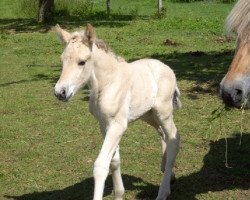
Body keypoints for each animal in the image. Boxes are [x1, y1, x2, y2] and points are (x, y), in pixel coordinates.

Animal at [53, 24, 181, 199]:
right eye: (62, 60)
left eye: (82, 62)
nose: (60, 92)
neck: (108, 83)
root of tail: (167, 68)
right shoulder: (103, 124)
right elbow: (114, 161)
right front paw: (119, 193)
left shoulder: (117, 125)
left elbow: (101, 165)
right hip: (148, 114)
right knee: (163, 134)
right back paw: (169, 175)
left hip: (164, 111)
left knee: (174, 138)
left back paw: (163, 192)